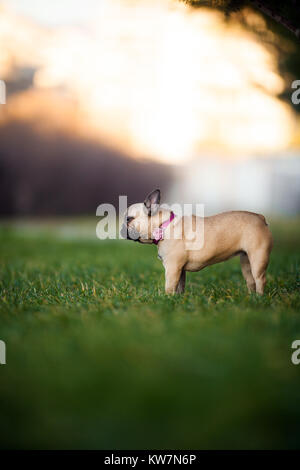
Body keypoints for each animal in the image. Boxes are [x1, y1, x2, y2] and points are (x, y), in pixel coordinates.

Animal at [120, 188, 274, 294]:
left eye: (128, 219)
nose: (121, 228)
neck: (164, 225)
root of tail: (260, 217)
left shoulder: (172, 268)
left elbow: (169, 287)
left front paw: (166, 299)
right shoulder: (180, 270)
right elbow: (179, 287)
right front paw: (178, 300)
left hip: (258, 258)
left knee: (260, 279)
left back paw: (259, 298)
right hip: (246, 261)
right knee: (251, 281)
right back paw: (251, 297)